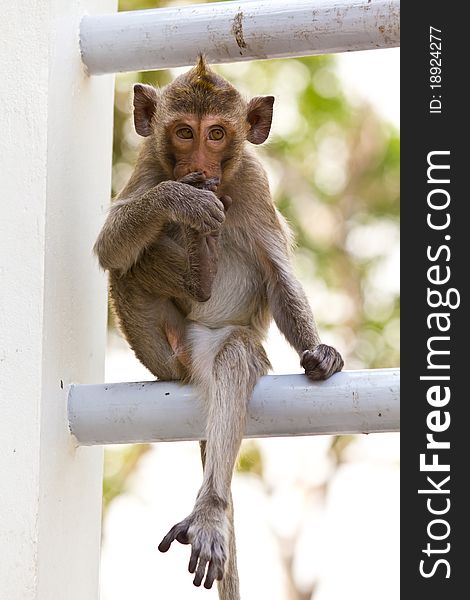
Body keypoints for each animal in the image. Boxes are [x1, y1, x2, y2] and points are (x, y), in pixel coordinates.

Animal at [93, 57, 344, 600]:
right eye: (184, 133)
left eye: (217, 134)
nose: (199, 168)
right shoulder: (149, 165)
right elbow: (109, 247)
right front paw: (182, 200)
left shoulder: (253, 180)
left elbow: (276, 273)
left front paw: (319, 352)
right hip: (162, 349)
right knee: (128, 268)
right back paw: (200, 266)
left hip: (205, 344)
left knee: (235, 355)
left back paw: (209, 511)